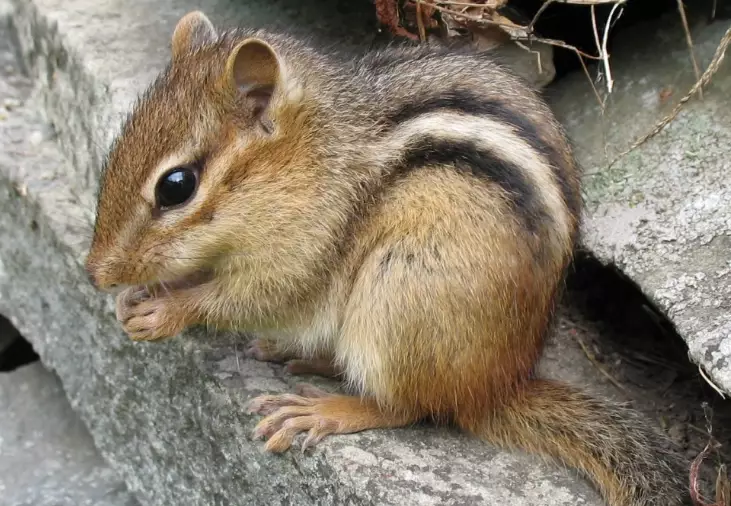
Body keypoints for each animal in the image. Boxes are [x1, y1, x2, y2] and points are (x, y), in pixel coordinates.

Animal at [84, 11, 688, 506]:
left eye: (177, 186)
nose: (95, 274)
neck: (312, 156)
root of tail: (497, 384)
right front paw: (137, 297)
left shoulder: (306, 246)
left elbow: (256, 296)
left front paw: (168, 309)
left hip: (399, 295)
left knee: (409, 406)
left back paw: (327, 409)